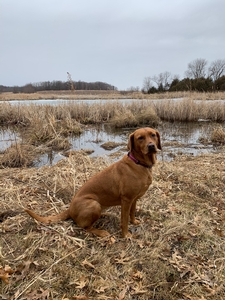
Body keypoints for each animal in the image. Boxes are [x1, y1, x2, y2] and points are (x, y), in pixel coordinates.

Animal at [24, 127, 161, 238]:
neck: (139, 164)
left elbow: (132, 213)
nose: (151, 146)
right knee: (85, 227)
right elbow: (124, 220)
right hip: (94, 204)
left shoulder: (134, 199)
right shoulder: (126, 200)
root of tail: (70, 209)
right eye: (140, 138)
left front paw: (134, 222)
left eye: (153, 135)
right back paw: (100, 232)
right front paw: (126, 235)